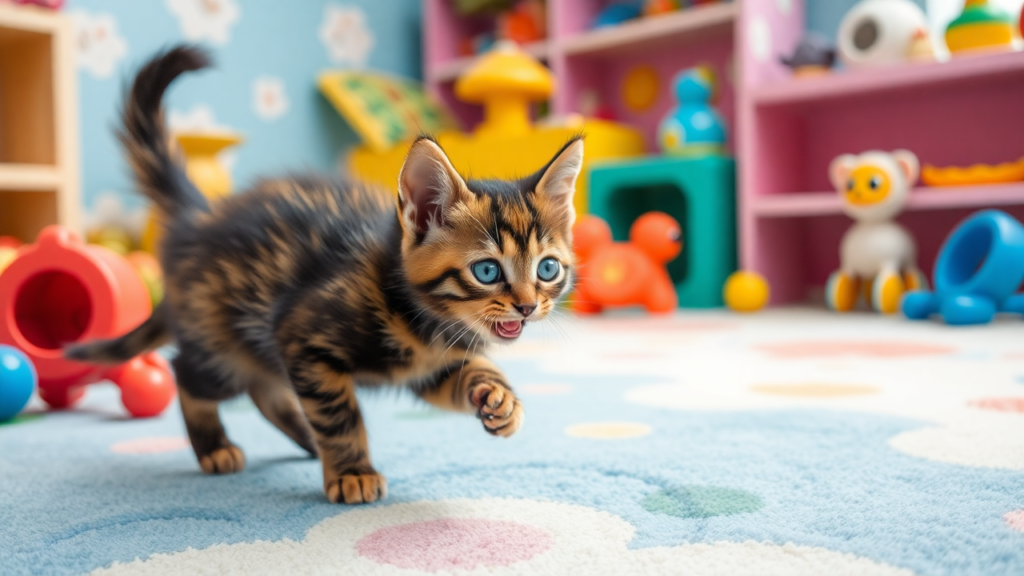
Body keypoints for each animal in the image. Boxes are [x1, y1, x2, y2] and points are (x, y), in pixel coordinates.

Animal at [66, 45, 585, 502]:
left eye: (547, 268)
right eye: (486, 270)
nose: (526, 306)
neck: (426, 322)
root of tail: (201, 217)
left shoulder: (429, 368)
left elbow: (469, 372)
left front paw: (499, 398)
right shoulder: (302, 336)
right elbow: (339, 414)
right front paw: (353, 471)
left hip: (258, 344)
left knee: (265, 390)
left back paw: (303, 437)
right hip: (223, 341)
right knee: (189, 374)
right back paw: (215, 445)